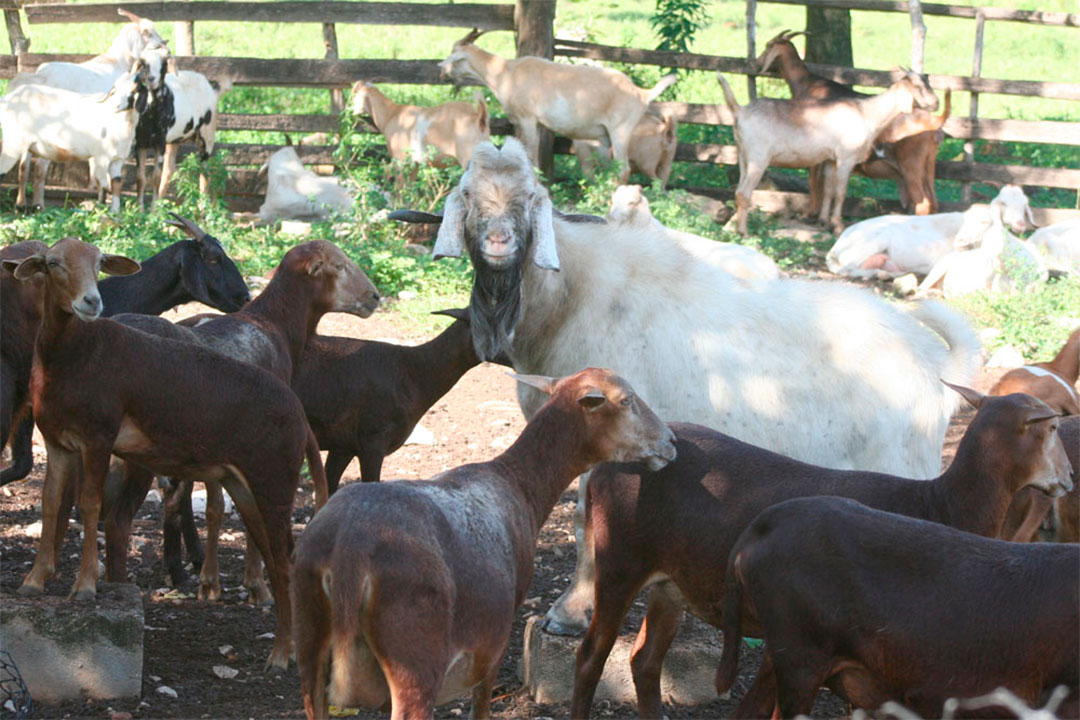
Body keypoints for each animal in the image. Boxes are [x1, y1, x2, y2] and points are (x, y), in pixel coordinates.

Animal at [287, 371, 673, 720]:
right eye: (626, 400)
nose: (670, 442)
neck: (520, 485)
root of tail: (348, 551)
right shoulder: (497, 637)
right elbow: (482, 702)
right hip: (414, 652)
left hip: (309, 638)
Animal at [349, 80, 490, 167]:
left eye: (355, 94)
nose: (349, 110)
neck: (392, 114)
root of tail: (478, 117)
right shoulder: (414, 164)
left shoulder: (401, 161)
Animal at [825, 183, 1036, 278]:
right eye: (1003, 203)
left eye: (1025, 205)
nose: (1020, 224)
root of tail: (836, 246)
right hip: (871, 243)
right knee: (847, 269)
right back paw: (881, 274)